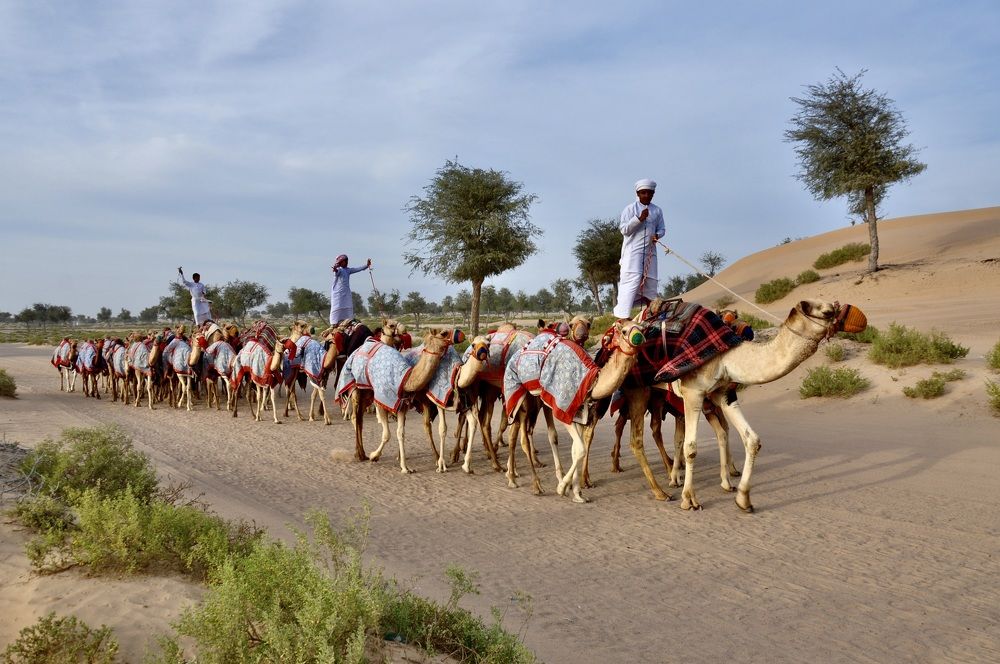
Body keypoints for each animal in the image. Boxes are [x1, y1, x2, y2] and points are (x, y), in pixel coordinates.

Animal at [503, 319, 645, 502]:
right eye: (625, 331)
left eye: (642, 328)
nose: (639, 338)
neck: (591, 381)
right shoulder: (565, 408)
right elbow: (581, 449)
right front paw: (562, 487)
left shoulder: (579, 413)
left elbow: (575, 450)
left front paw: (577, 493)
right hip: (519, 392)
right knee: (521, 438)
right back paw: (535, 485)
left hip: (534, 399)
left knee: (516, 435)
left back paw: (511, 477)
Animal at [660, 299, 866, 512]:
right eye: (827, 312)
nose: (862, 321)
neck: (725, 357)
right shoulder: (693, 392)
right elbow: (691, 447)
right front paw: (689, 499)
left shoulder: (723, 394)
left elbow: (751, 440)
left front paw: (743, 498)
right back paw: (668, 487)